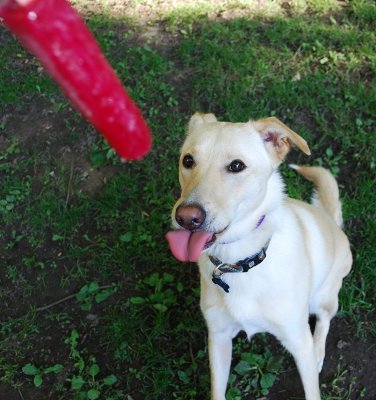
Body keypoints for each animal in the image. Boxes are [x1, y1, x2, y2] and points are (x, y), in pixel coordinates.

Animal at [166, 112, 352, 400]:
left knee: (324, 318)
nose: (186, 217)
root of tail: (331, 221)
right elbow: (217, 391)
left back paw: (319, 350)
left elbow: (312, 389)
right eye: (188, 160)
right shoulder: (218, 338)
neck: (240, 262)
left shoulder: (298, 341)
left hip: (323, 296)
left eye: (236, 166)